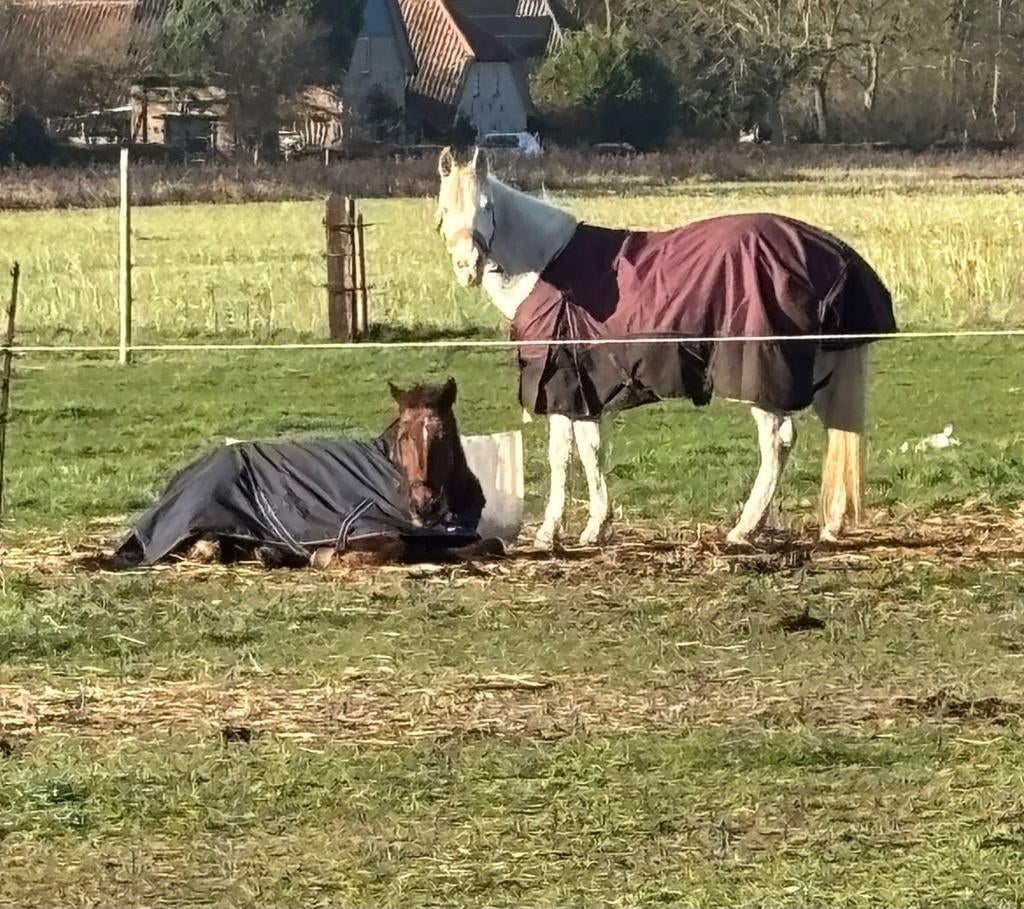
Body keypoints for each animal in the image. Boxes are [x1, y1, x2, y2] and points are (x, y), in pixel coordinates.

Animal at [100, 378, 503, 570]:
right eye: (404, 435)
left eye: (442, 435)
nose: (424, 505)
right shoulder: (364, 529)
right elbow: (396, 547)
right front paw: (324, 557)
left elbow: (489, 545)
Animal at [434, 147, 897, 548]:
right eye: (444, 209)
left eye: (486, 205)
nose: (467, 268)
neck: (549, 270)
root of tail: (836, 255)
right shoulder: (586, 391)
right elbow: (590, 451)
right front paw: (596, 527)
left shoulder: (562, 388)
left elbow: (560, 457)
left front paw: (551, 533)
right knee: (839, 432)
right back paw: (831, 523)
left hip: (764, 377)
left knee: (778, 442)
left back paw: (744, 529)